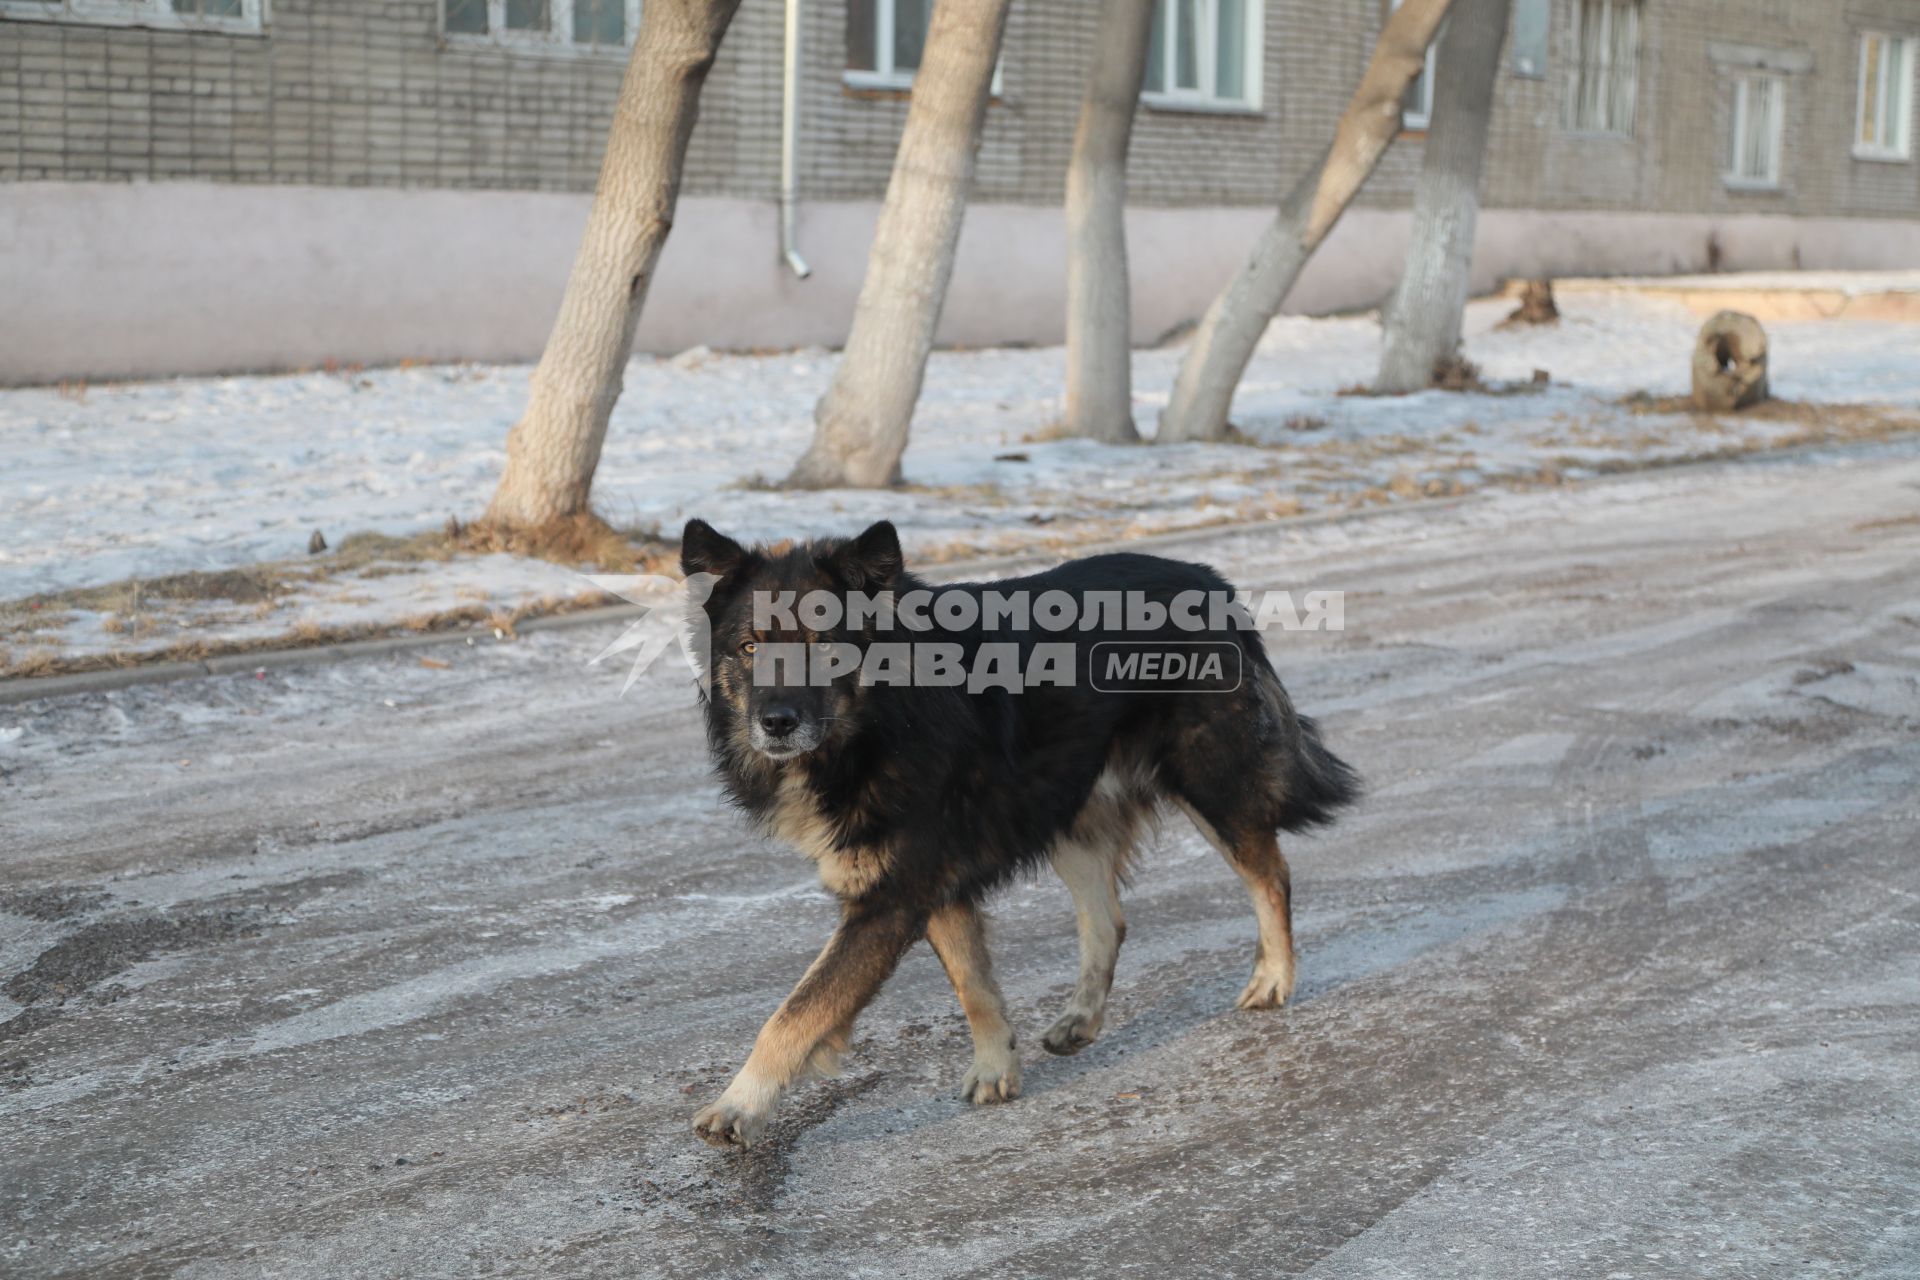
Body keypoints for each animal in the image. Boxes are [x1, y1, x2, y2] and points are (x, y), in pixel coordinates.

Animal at [683, 521, 1359, 1151]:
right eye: (749, 646)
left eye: (823, 646)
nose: (775, 723)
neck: (882, 722)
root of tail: (1209, 580)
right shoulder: (931, 885)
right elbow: (974, 984)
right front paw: (996, 1066)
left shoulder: (890, 899)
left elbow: (798, 1010)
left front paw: (739, 1104)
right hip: (1068, 806)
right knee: (1107, 920)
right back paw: (1081, 1017)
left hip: (1207, 781)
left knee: (1270, 873)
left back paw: (1273, 979)